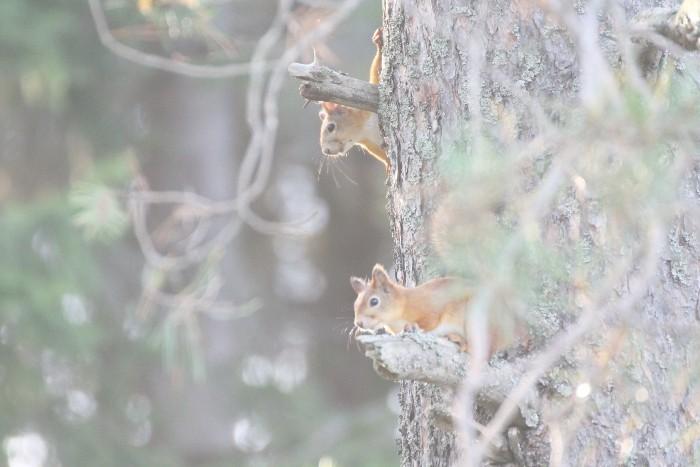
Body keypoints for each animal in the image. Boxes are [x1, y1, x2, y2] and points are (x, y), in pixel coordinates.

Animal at [318, 27, 388, 170]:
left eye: (330, 127)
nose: (326, 151)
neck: (364, 129)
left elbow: (377, 72)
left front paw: (378, 41)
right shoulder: (370, 144)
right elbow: (383, 156)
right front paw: (389, 166)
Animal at [350, 266, 520, 352]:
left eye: (374, 301)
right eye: (355, 304)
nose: (358, 323)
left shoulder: (430, 308)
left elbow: (430, 321)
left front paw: (412, 327)